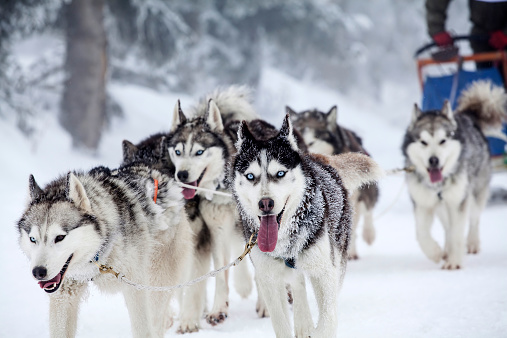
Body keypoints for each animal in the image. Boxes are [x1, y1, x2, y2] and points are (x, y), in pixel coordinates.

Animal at [16, 163, 194, 336]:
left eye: (60, 237)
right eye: (33, 239)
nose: (38, 272)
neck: (99, 255)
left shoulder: (135, 288)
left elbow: (143, 328)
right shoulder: (64, 295)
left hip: (156, 281)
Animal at [169, 86, 258, 328]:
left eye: (199, 152)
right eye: (178, 152)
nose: (182, 174)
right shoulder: (217, 232)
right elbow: (220, 274)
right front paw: (218, 309)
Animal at [402, 81, 506, 270]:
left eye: (443, 141)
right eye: (423, 142)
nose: (433, 160)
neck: (438, 186)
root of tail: (468, 118)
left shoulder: (458, 202)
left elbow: (458, 232)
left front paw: (454, 262)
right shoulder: (423, 204)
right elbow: (421, 234)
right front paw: (436, 253)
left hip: (474, 193)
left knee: (474, 219)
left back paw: (472, 243)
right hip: (442, 207)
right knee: (447, 227)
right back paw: (446, 249)